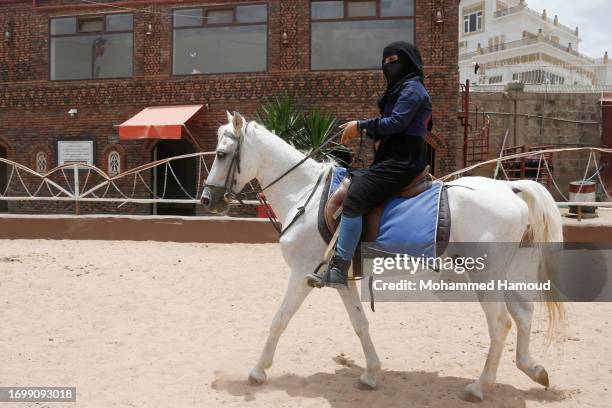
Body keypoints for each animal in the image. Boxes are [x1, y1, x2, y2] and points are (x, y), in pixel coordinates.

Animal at [203, 112, 568, 402]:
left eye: (221, 154)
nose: (207, 199)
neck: (304, 193)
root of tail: (508, 189)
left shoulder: (301, 273)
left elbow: (280, 319)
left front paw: (257, 370)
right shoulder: (340, 278)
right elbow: (360, 323)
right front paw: (371, 373)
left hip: (485, 277)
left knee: (501, 323)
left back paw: (480, 387)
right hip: (496, 276)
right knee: (522, 313)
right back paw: (533, 369)